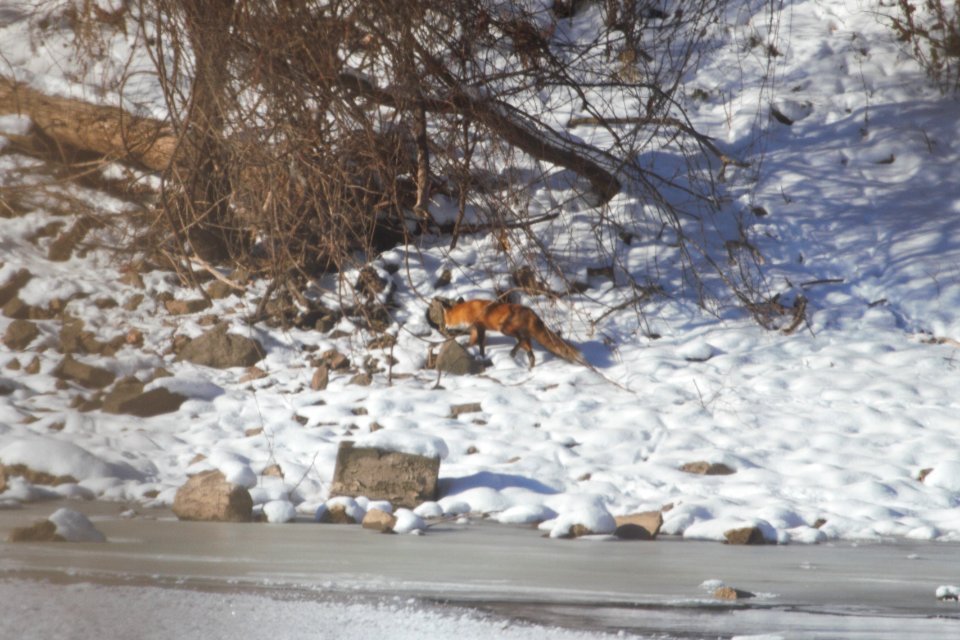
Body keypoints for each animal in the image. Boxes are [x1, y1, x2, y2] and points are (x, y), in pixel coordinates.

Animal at [428, 298, 584, 368]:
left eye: (445, 320)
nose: (444, 328)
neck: (466, 311)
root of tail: (530, 311)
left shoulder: (479, 327)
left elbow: (480, 344)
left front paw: (481, 355)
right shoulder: (476, 330)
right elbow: (473, 342)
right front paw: (467, 348)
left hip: (505, 329)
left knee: (521, 341)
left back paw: (513, 353)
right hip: (521, 334)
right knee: (529, 350)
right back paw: (530, 367)